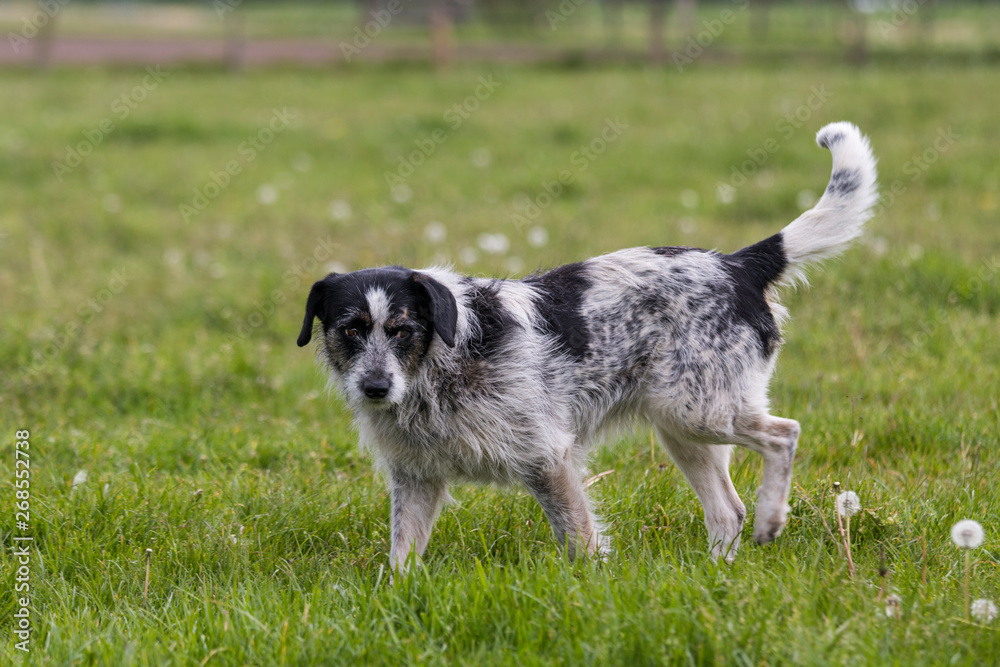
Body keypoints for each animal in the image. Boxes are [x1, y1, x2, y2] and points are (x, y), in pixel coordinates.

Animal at [294, 122, 876, 572]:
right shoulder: (417, 480)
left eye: (402, 329)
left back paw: (771, 518)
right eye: (350, 329)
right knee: (725, 512)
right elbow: (401, 561)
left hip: (702, 412)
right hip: (682, 428)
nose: (374, 387)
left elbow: (580, 541)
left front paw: (594, 590)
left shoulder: (549, 459)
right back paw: (715, 576)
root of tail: (738, 264)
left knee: (784, 434)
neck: (439, 367)